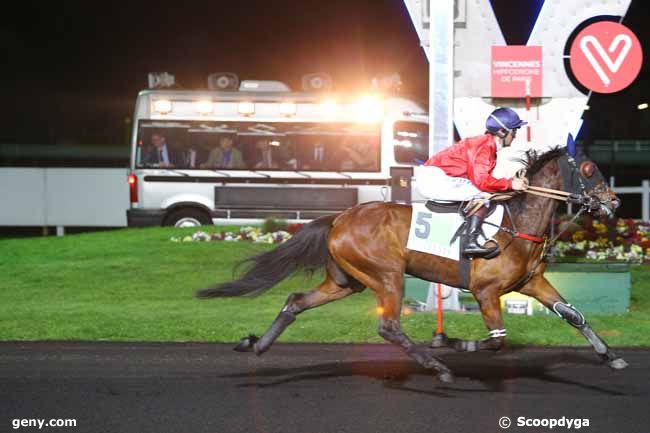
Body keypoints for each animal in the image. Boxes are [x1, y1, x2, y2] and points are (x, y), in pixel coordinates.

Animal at [196, 147, 624, 384]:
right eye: (589, 170)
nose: (614, 202)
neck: (516, 224)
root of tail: (338, 218)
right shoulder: (486, 292)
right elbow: (497, 340)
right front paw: (452, 342)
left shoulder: (531, 283)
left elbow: (575, 316)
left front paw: (610, 356)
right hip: (387, 274)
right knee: (389, 327)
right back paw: (439, 368)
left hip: (346, 280)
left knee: (296, 301)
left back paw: (256, 344)